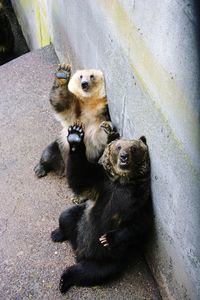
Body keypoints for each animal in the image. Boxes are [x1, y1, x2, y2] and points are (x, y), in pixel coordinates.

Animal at [50, 122, 152, 292]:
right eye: (118, 146)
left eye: (133, 148)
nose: (124, 157)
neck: (121, 181)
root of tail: (79, 251)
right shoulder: (101, 182)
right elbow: (80, 178)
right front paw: (75, 135)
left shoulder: (139, 197)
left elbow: (139, 224)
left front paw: (107, 238)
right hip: (81, 221)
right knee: (66, 216)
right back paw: (57, 234)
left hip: (108, 259)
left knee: (91, 272)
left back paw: (65, 280)